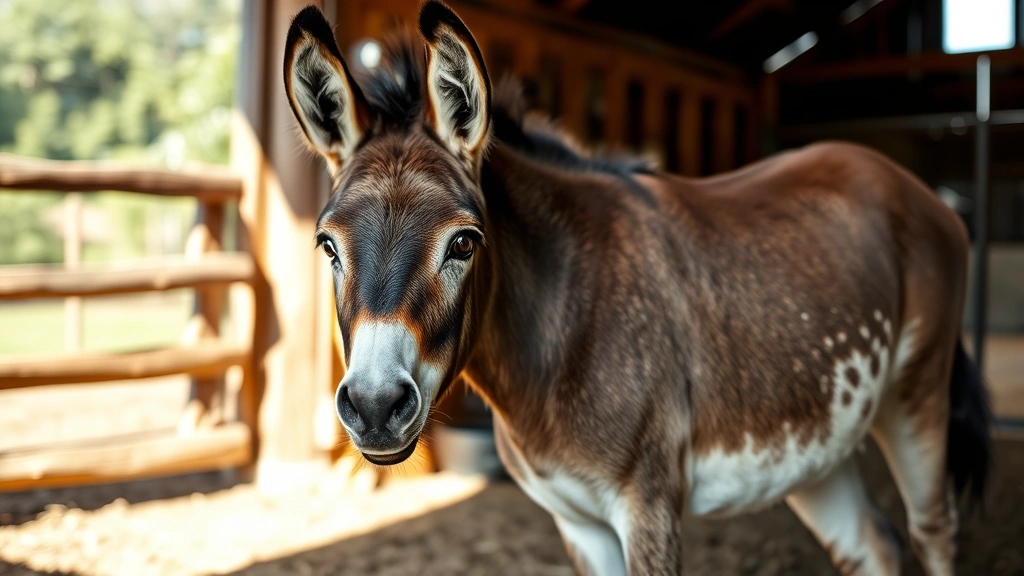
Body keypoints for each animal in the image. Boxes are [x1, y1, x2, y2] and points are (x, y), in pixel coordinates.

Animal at [283, 3, 991, 574]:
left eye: (463, 242)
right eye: (327, 246)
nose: (375, 409)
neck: (565, 326)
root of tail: (909, 182)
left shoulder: (649, 505)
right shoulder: (578, 522)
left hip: (917, 399)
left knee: (934, 533)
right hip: (818, 443)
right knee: (875, 546)